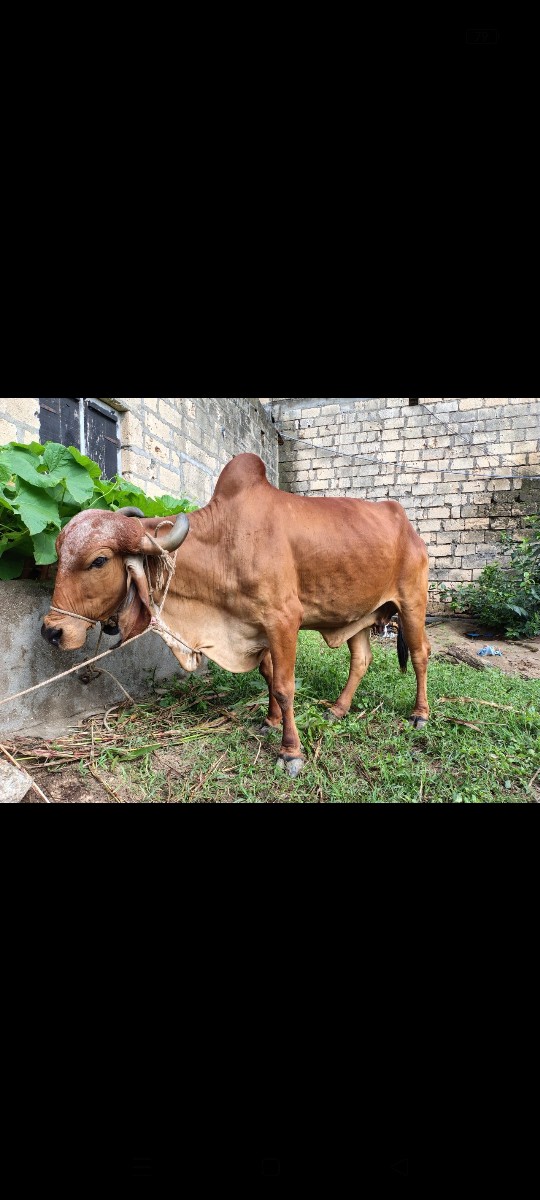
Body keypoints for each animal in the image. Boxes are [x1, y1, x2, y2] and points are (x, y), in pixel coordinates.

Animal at [41, 453, 431, 776]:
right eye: (58, 553)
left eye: (99, 560)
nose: (51, 632)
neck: (226, 542)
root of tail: (408, 526)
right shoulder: (257, 628)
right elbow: (269, 676)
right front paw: (270, 722)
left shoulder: (283, 620)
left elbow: (285, 686)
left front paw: (291, 752)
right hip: (358, 617)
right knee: (362, 659)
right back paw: (337, 709)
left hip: (412, 603)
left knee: (420, 654)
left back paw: (419, 715)